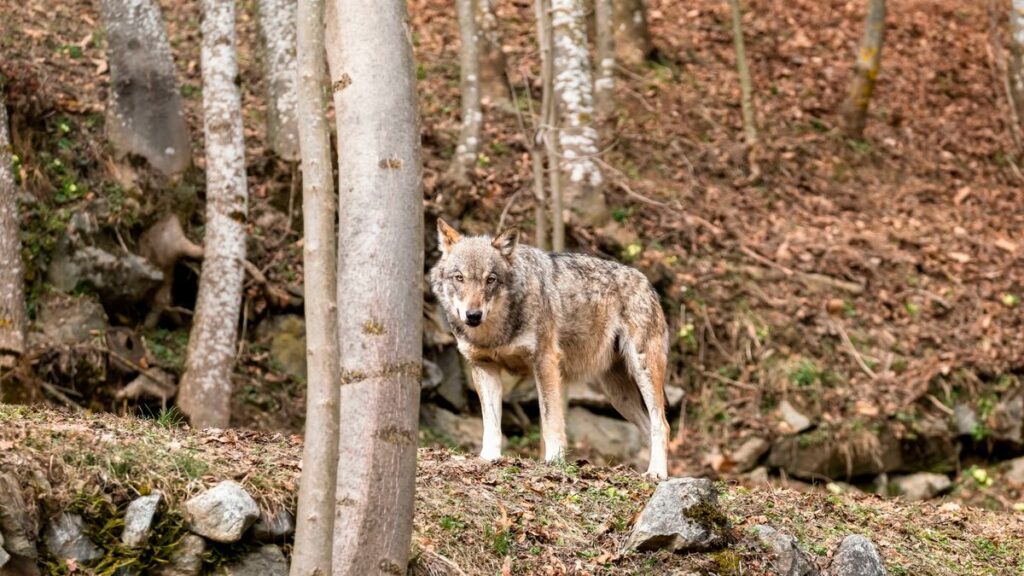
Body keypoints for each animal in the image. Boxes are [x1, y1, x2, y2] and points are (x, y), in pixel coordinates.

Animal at [429, 219, 670, 478]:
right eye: (459, 277)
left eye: (490, 279)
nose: (473, 315)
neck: (496, 331)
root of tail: (648, 284)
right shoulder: (484, 366)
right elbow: (491, 423)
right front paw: (488, 458)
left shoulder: (545, 362)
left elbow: (550, 419)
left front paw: (554, 461)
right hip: (618, 395)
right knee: (649, 426)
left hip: (642, 371)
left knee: (662, 425)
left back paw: (657, 473)